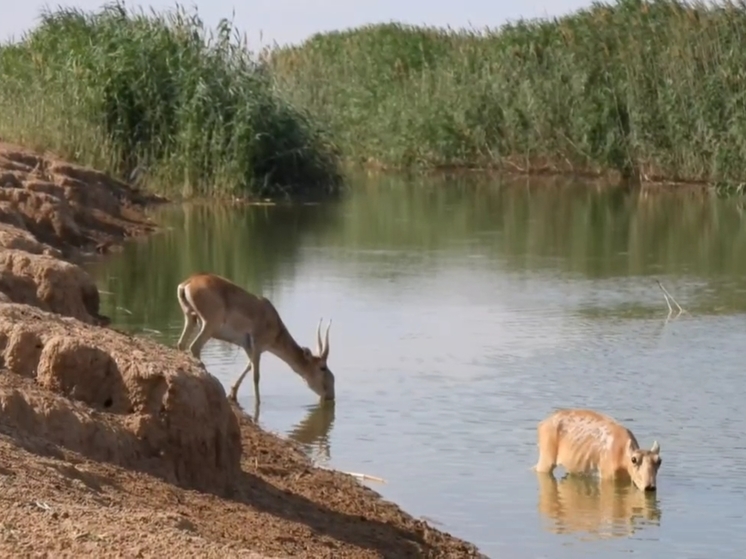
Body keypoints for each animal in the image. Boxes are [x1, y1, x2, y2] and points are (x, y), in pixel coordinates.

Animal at [174, 272, 334, 402]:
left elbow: (249, 366)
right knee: (194, 346)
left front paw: (232, 394)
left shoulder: (248, 346)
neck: (274, 323)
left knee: (181, 344)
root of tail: (188, 283)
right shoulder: (257, 345)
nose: (330, 395)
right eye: (322, 367)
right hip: (209, 325)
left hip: (190, 318)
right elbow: (256, 376)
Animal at [532, 410, 660, 492]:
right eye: (633, 459)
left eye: (659, 461)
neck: (621, 454)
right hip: (546, 460)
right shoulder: (607, 476)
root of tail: (542, 423)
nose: (650, 487)